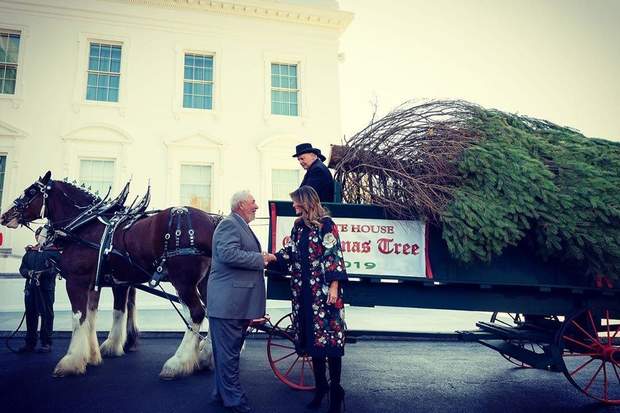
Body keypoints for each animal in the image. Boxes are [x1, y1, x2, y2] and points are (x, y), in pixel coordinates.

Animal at [0, 171, 223, 376]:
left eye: (31, 191)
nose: (5, 216)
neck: (85, 225)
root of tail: (212, 221)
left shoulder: (77, 281)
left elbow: (79, 317)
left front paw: (71, 361)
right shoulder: (97, 283)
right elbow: (93, 315)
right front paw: (92, 355)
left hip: (183, 281)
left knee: (196, 313)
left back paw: (178, 363)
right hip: (205, 282)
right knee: (213, 311)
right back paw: (206, 357)